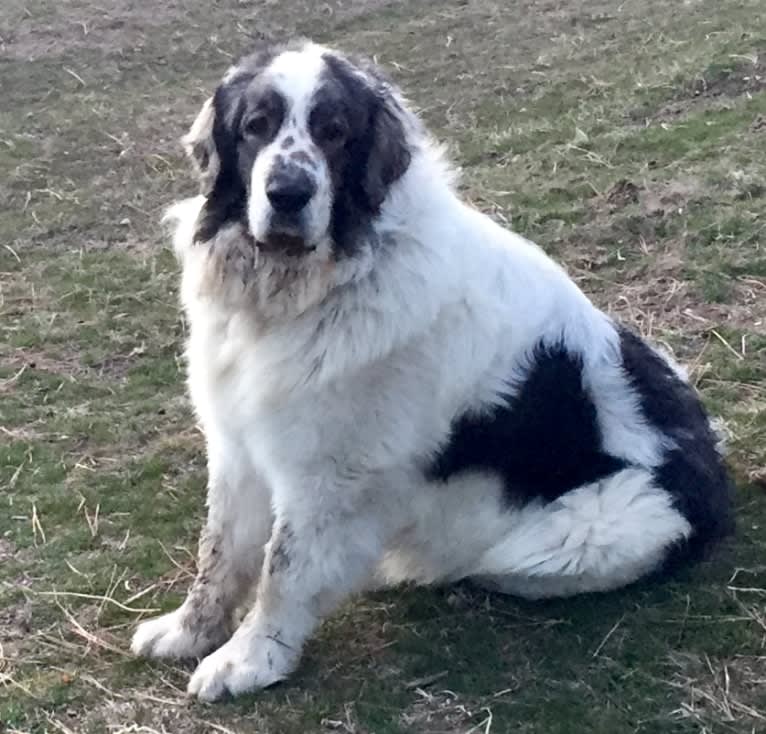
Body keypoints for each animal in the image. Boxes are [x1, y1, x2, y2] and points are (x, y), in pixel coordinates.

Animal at [130, 38, 732, 700]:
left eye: (334, 132)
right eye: (255, 127)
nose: (287, 193)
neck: (315, 286)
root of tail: (717, 483)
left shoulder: (331, 473)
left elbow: (283, 570)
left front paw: (249, 659)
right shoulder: (239, 441)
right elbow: (220, 551)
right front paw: (188, 631)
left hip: (577, 534)